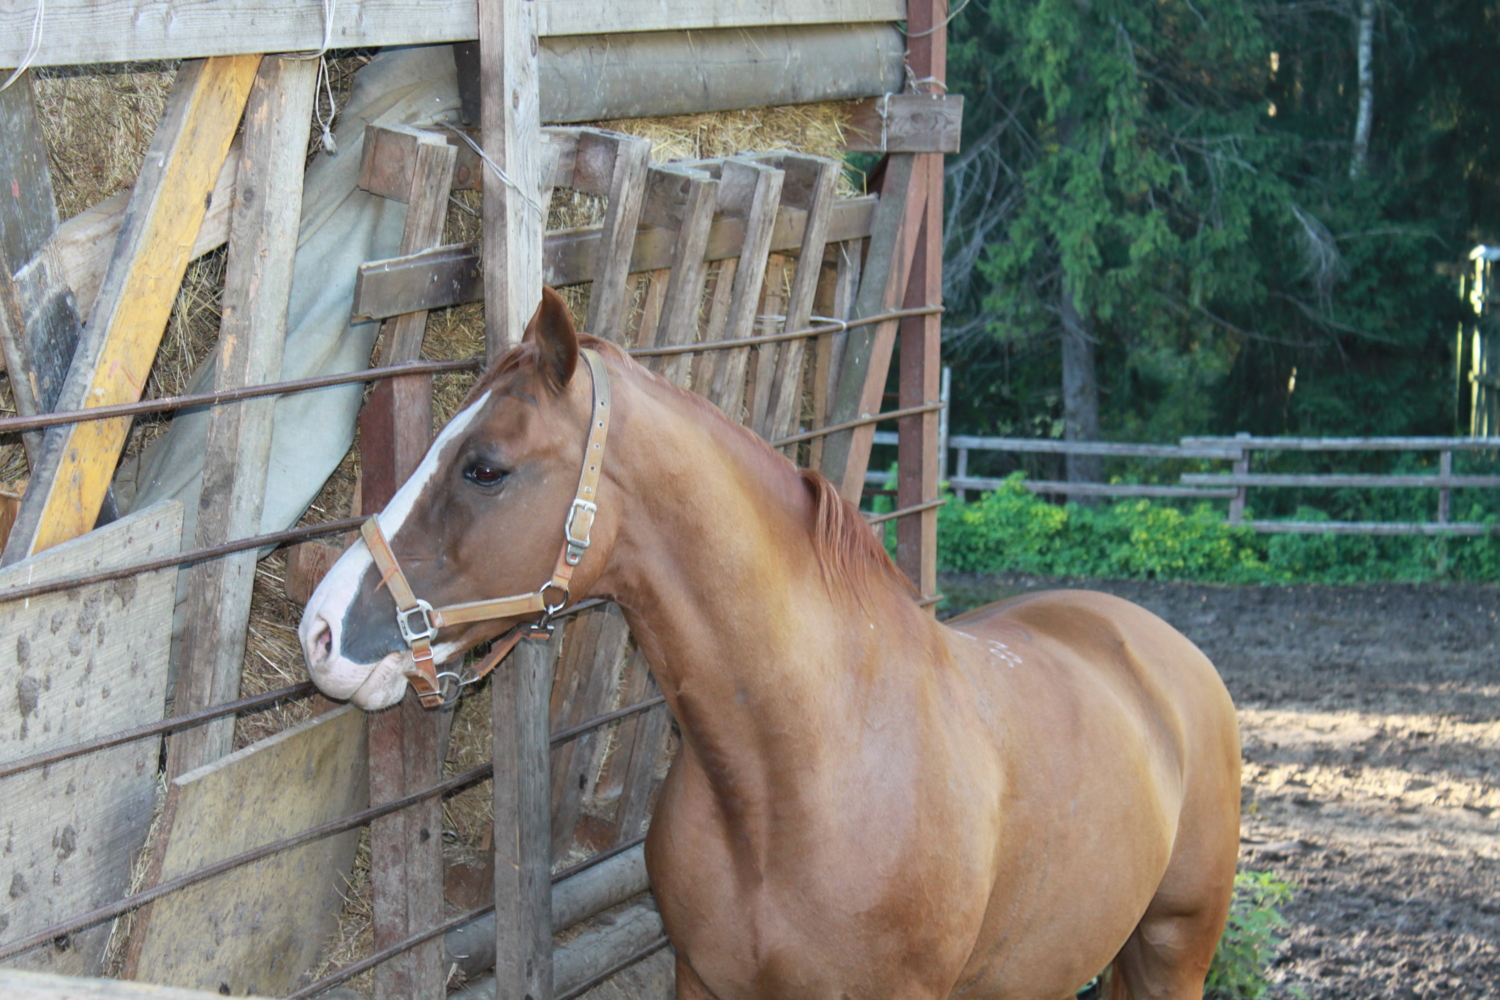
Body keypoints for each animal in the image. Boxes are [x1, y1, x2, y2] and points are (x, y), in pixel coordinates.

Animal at [301, 289, 1242, 1000]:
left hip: (1173, 953)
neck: (800, 779)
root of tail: (1160, 647)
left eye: (485, 467)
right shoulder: (703, 982)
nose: (320, 633)